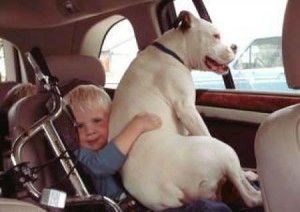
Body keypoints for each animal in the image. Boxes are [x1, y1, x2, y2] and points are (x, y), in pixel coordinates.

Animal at [109, 11, 262, 210]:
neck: (173, 51)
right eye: (216, 36)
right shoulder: (187, 109)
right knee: (250, 196)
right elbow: (204, 130)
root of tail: (170, 188)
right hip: (223, 150)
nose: (235, 46)